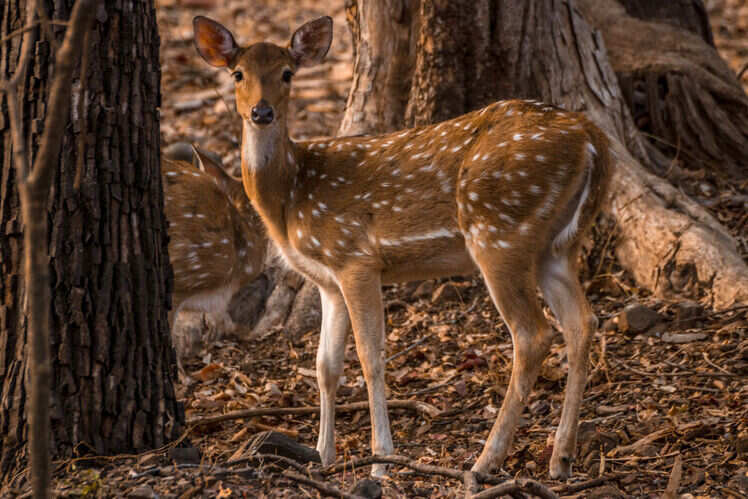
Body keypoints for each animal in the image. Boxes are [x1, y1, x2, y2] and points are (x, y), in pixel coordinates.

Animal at [193, 13, 612, 478]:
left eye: (287, 73)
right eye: (238, 73)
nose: (261, 112)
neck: (289, 196)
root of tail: (594, 139)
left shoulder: (355, 257)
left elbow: (370, 357)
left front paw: (381, 460)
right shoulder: (328, 282)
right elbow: (325, 366)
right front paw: (323, 456)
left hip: (500, 230)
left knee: (533, 334)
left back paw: (486, 461)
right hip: (555, 245)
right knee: (582, 322)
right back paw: (560, 458)